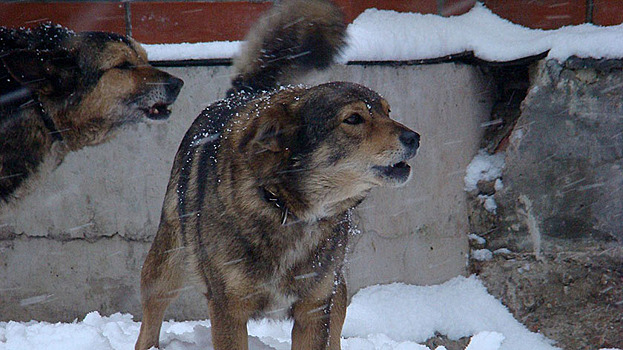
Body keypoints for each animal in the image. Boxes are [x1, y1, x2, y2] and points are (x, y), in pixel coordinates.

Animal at [136, 1, 420, 348]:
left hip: (336, 289)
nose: (415, 138)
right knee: (151, 318)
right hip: (166, 266)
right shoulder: (227, 309)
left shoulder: (315, 309)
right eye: (353, 119)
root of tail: (243, 94)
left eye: (388, 112)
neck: (286, 209)